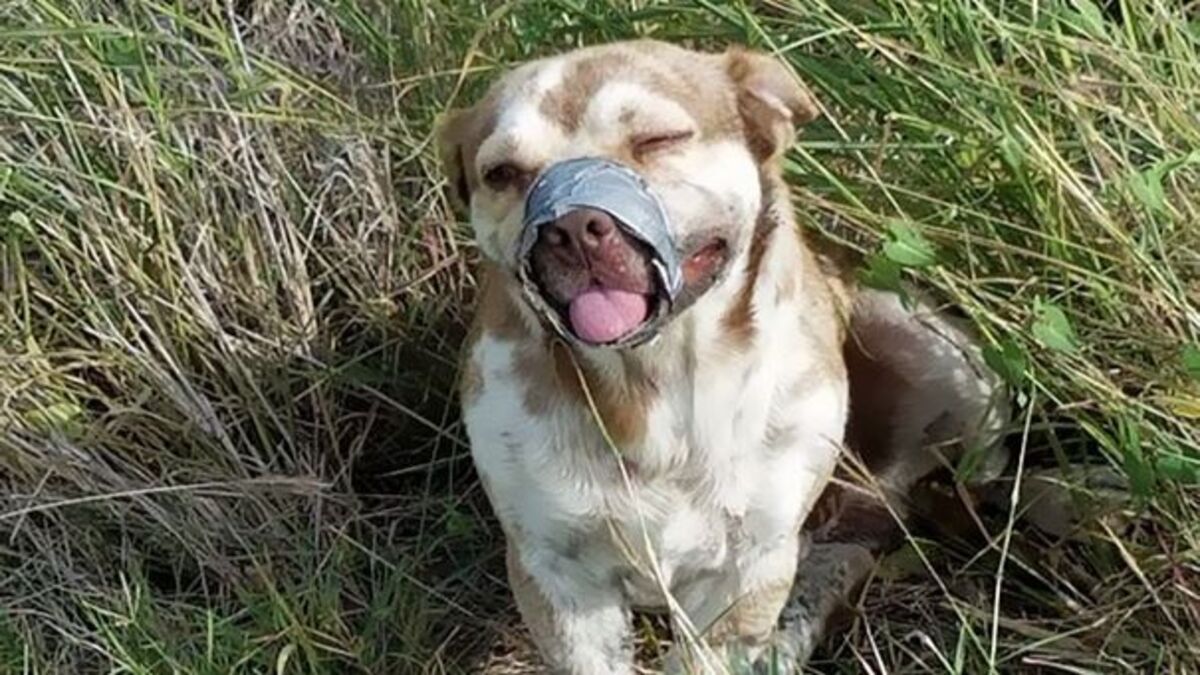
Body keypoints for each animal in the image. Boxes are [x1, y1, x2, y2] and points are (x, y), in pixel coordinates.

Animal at [436, 39, 1008, 667]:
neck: (652, 381)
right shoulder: (556, 574)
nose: (573, 225)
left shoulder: (746, 570)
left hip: (942, 359)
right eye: (502, 174)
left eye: (659, 139)